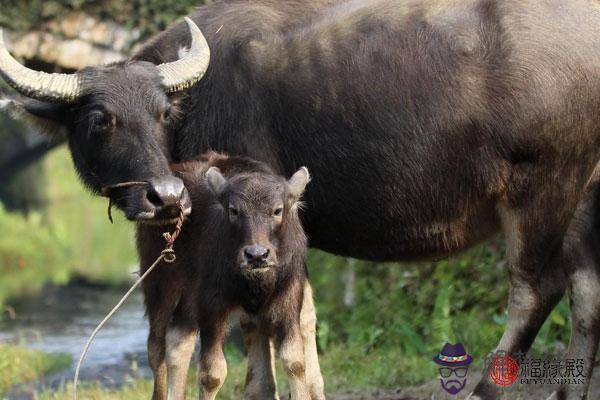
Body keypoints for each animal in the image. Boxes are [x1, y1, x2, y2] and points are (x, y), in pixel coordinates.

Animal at [1, 0, 600, 400]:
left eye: (163, 112)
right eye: (99, 119)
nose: (164, 196)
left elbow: (255, 328)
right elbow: (291, 325)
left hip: (541, 188)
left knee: (536, 288)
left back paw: (487, 388)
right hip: (586, 194)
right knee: (586, 288)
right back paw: (568, 390)